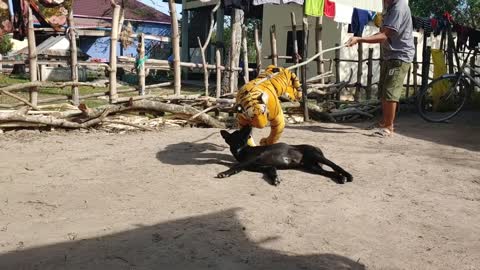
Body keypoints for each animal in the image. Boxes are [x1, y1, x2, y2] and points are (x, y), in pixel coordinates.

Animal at [218, 126, 352, 186]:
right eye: (239, 131)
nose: (249, 126)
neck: (241, 149)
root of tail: (316, 147)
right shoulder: (263, 166)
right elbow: (272, 170)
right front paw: (275, 179)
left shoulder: (252, 159)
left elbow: (236, 166)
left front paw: (224, 172)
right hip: (313, 167)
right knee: (330, 172)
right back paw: (341, 178)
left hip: (316, 156)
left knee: (336, 166)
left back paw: (348, 175)